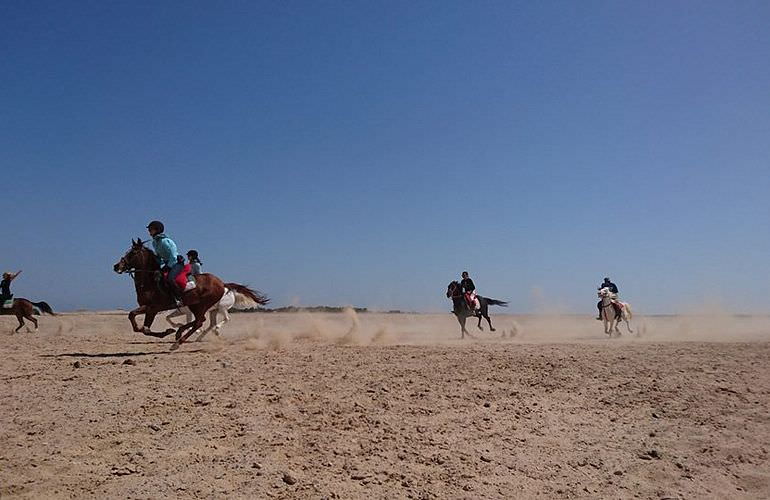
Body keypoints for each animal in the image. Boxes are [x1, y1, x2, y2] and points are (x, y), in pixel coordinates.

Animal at [112, 239, 268, 352]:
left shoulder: (154, 307)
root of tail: (222, 283)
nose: (116, 266)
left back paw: (180, 340)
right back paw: (185, 334)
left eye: (132, 253)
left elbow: (138, 322)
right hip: (204, 308)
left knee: (202, 321)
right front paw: (167, 331)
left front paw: (170, 330)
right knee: (204, 321)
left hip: (206, 306)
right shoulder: (151, 309)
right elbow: (141, 326)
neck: (151, 281)